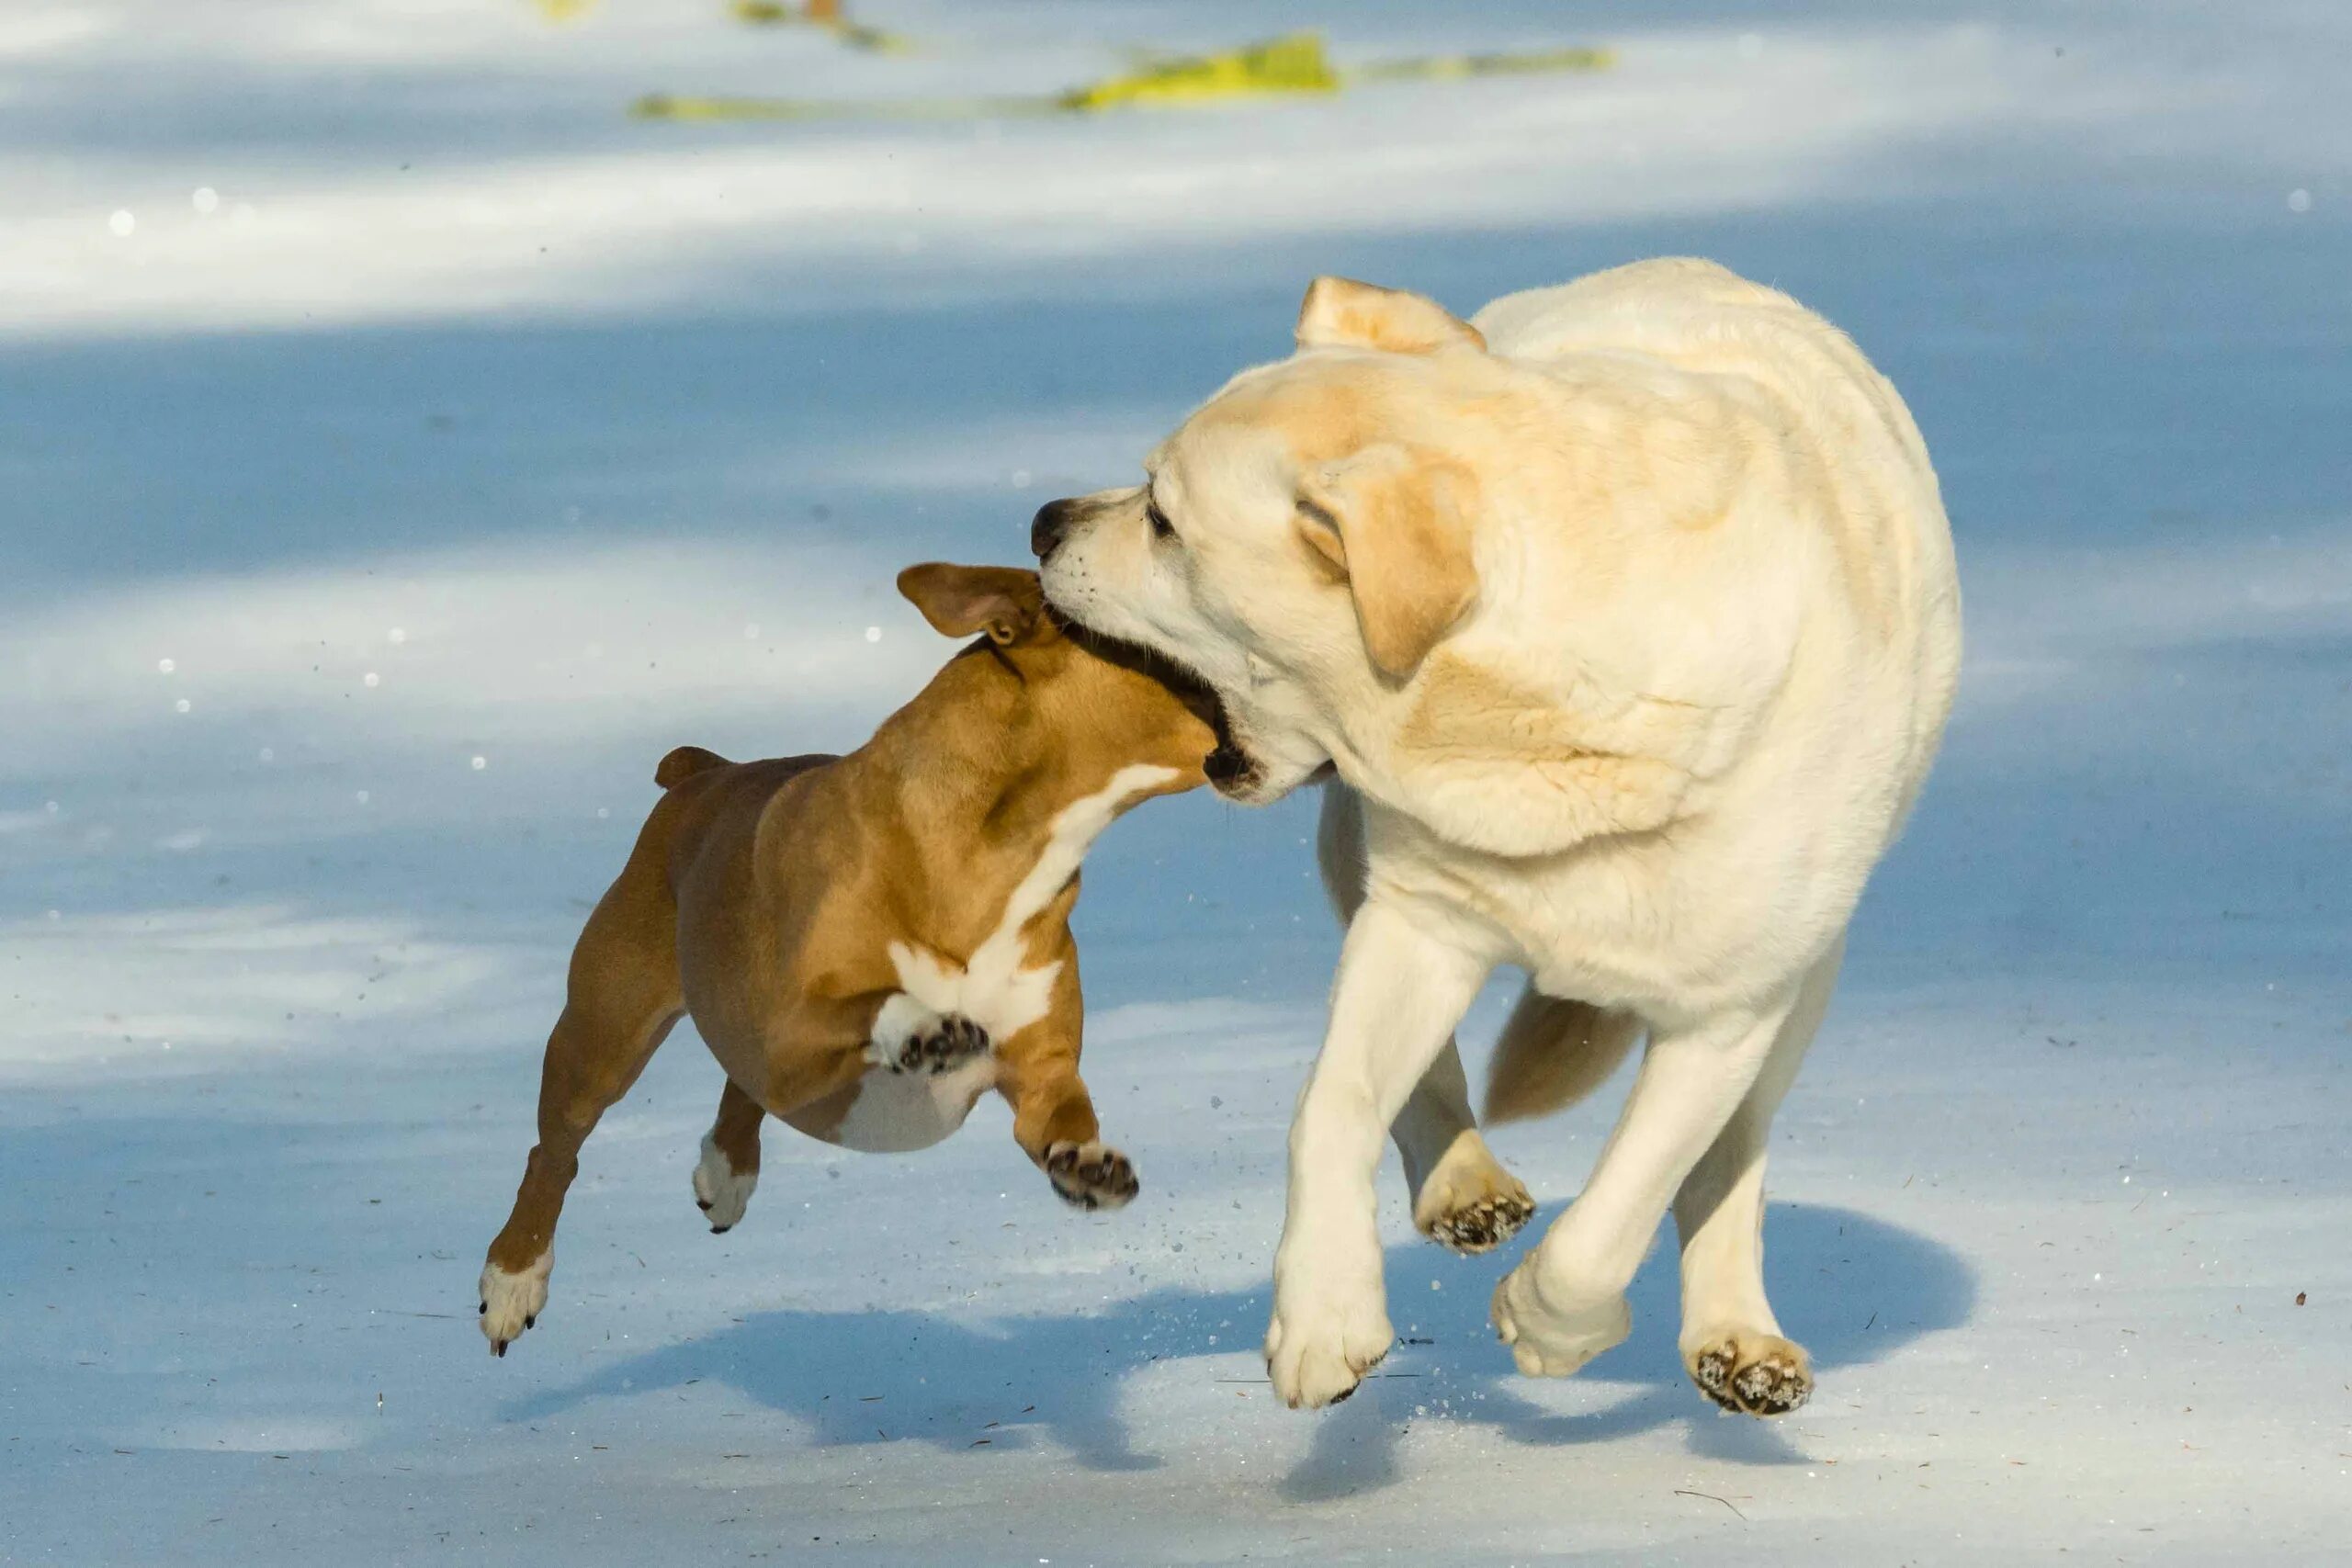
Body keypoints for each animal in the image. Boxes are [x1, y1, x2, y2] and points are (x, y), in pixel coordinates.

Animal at [477, 566, 1213, 1363]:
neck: (999, 861)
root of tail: (701, 773)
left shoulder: (1041, 1068)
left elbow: (1059, 1112)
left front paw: (1087, 1162)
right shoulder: (783, 1035)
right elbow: (865, 1002)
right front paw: (924, 1028)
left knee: (731, 1097)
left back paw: (726, 1172)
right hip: (604, 1033)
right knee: (555, 1151)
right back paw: (513, 1280)